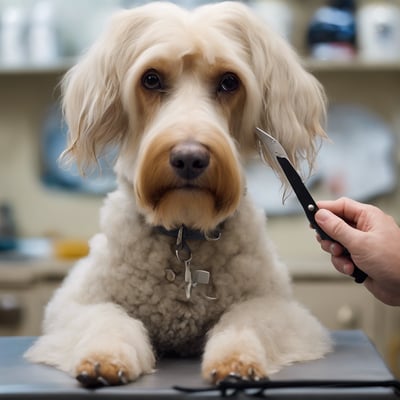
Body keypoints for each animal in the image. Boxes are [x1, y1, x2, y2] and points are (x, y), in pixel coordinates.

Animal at [25, 0, 332, 388]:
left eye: (229, 82)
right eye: (151, 79)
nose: (189, 158)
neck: (184, 234)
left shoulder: (285, 311)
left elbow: (245, 320)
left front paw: (236, 361)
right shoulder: (72, 306)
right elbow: (107, 318)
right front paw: (104, 358)